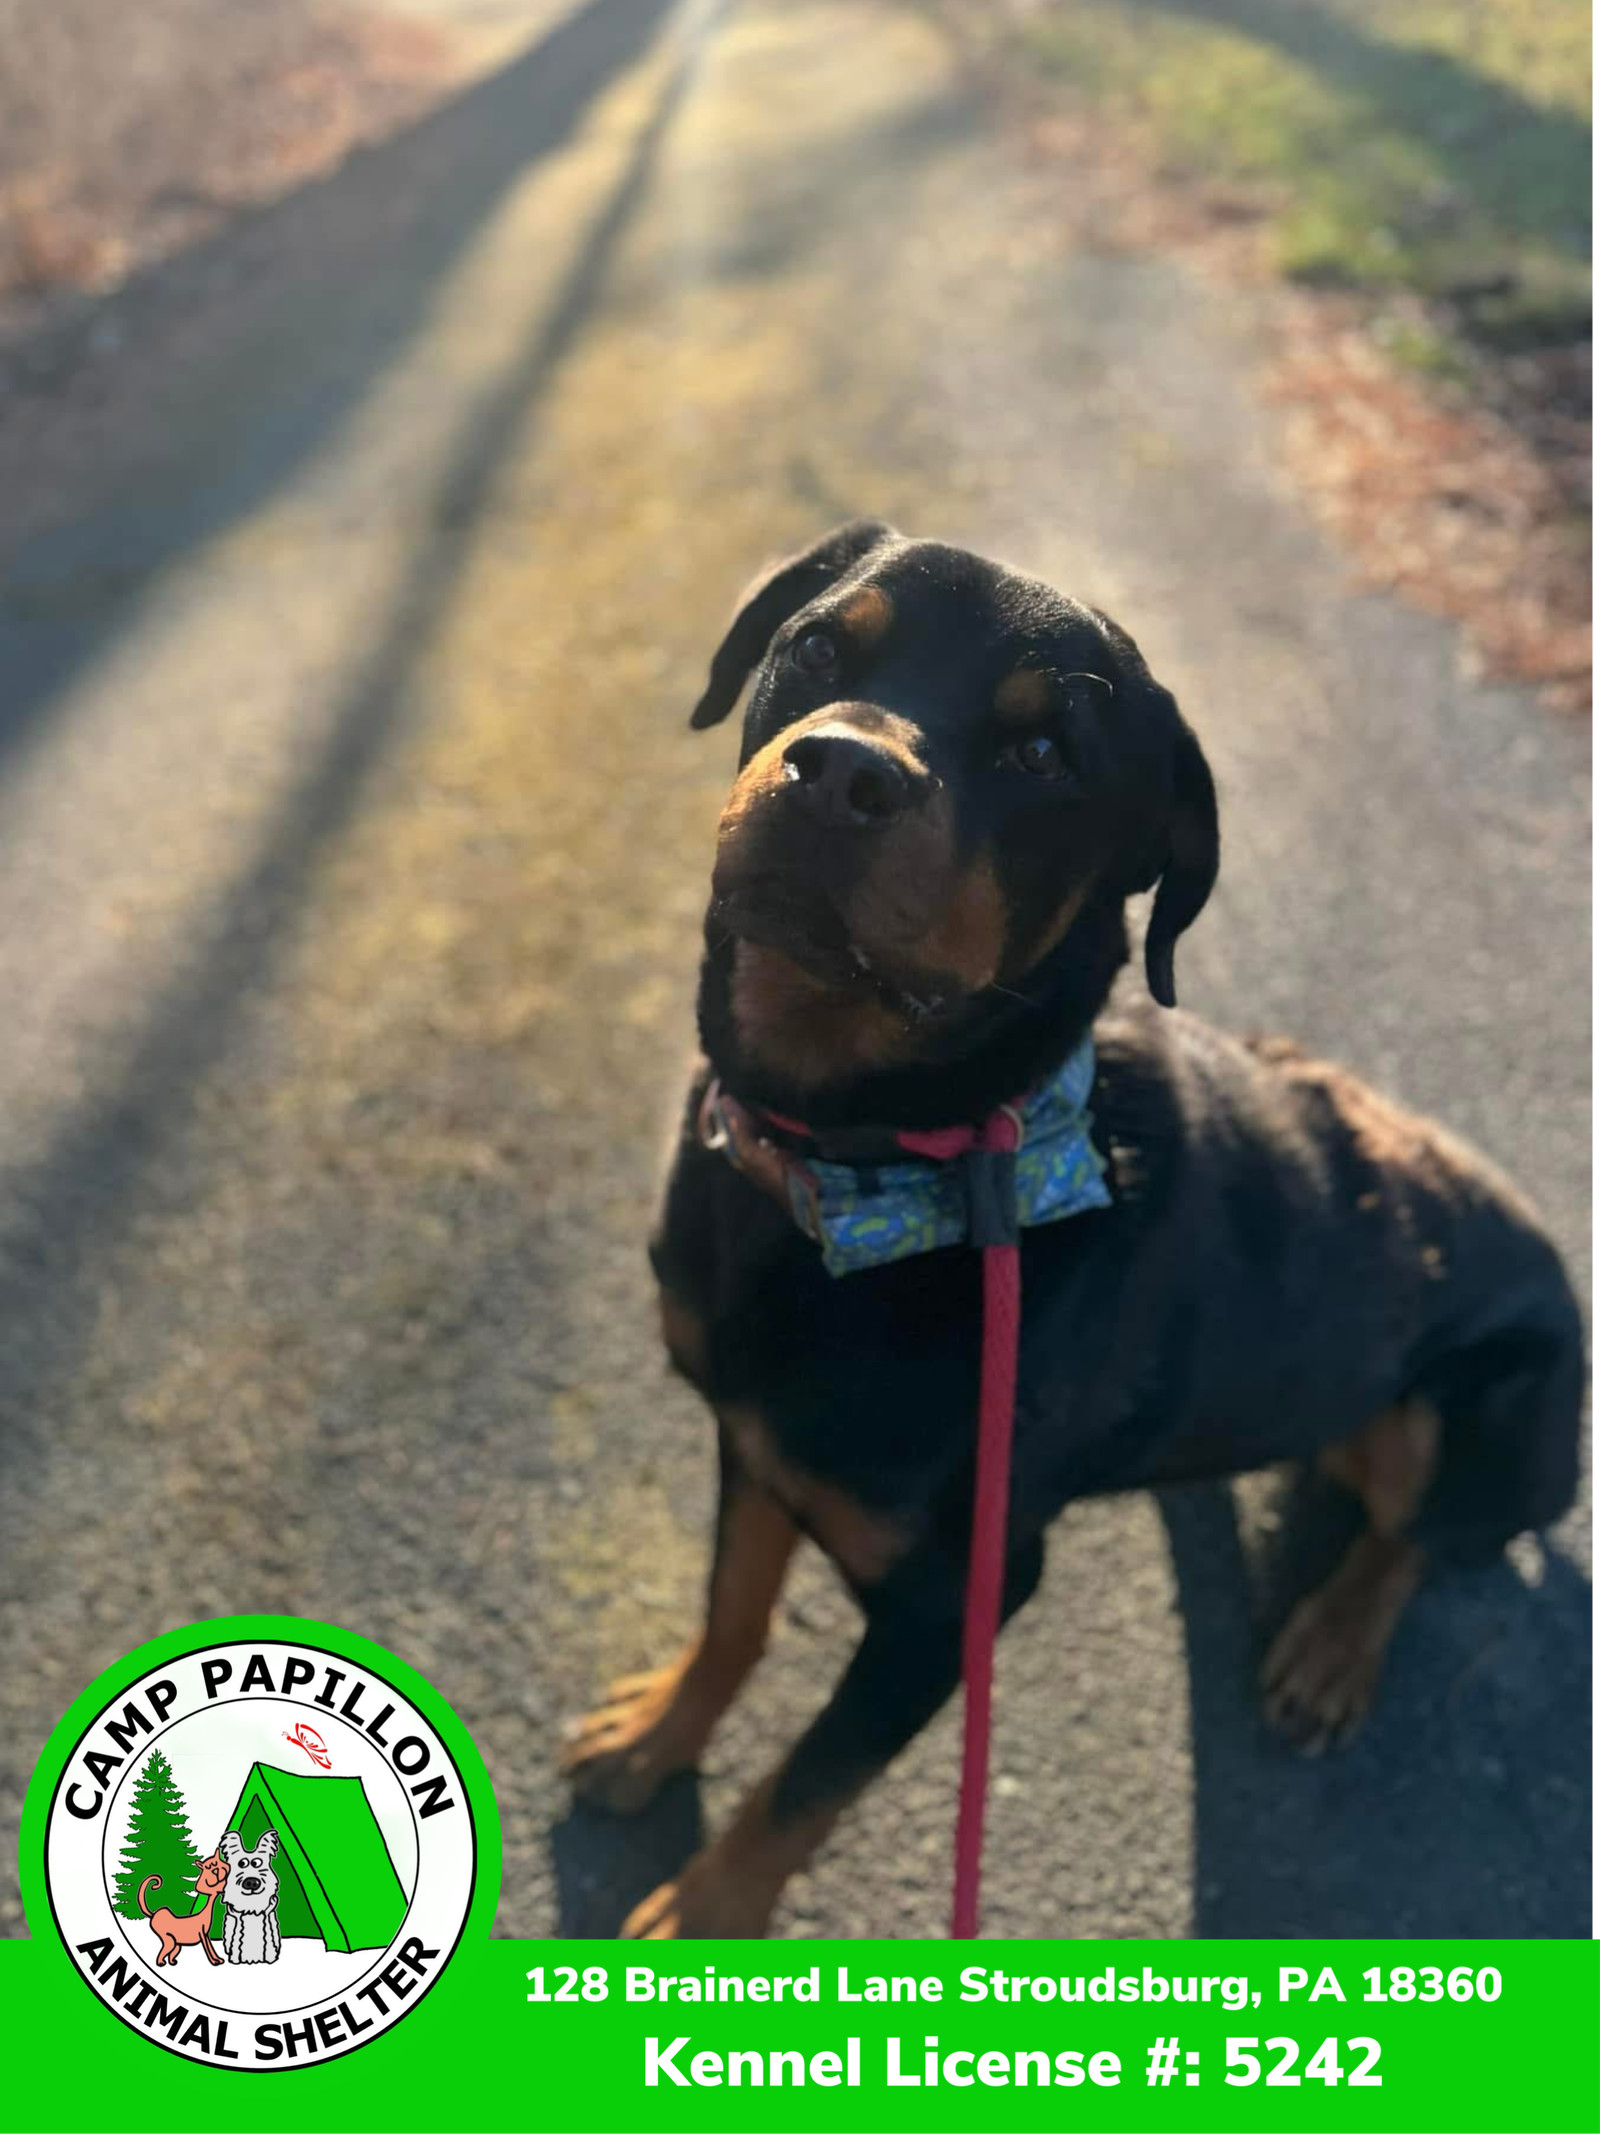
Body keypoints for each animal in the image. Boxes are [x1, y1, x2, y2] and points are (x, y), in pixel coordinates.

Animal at [563, 524, 1595, 1946]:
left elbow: (811, 1779)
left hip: (1484, 1410)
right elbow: (731, 1614)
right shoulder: (755, 1440)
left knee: (1419, 1536)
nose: (841, 771)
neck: (871, 1168)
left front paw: (711, 1910)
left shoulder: (958, 1598)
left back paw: (1331, 1647)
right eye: (819, 645)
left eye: (1045, 753)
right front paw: (658, 1731)